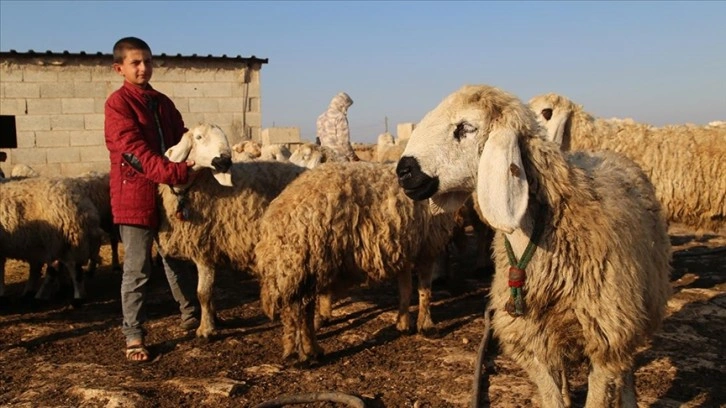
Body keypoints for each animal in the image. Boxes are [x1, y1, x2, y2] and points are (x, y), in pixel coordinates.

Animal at [1, 175, 103, 305]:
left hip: (69, 243)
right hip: (52, 245)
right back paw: (33, 294)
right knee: (51, 270)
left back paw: (77, 298)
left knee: (74, 271)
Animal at [158, 123, 307, 338]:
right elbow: (210, 293)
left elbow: (202, 293)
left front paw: (206, 330)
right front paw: (215, 320)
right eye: (199, 137)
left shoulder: (203, 248)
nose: (224, 160)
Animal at [255, 161, 456, 365]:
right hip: (312, 260)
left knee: (293, 310)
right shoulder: (427, 245)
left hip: (298, 267)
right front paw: (427, 326)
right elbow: (425, 290)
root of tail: (277, 220)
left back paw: (295, 352)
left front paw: (403, 324)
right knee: (302, 310)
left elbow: (405, 288)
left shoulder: (404, 246)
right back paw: (309, 353)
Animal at [395, 85, 672, 407]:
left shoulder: (605, 333)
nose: (403, 171)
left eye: (465, 127)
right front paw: (557, 397)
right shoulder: (530, 336)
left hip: (637, 307)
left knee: (626, 366)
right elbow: (551, 395)